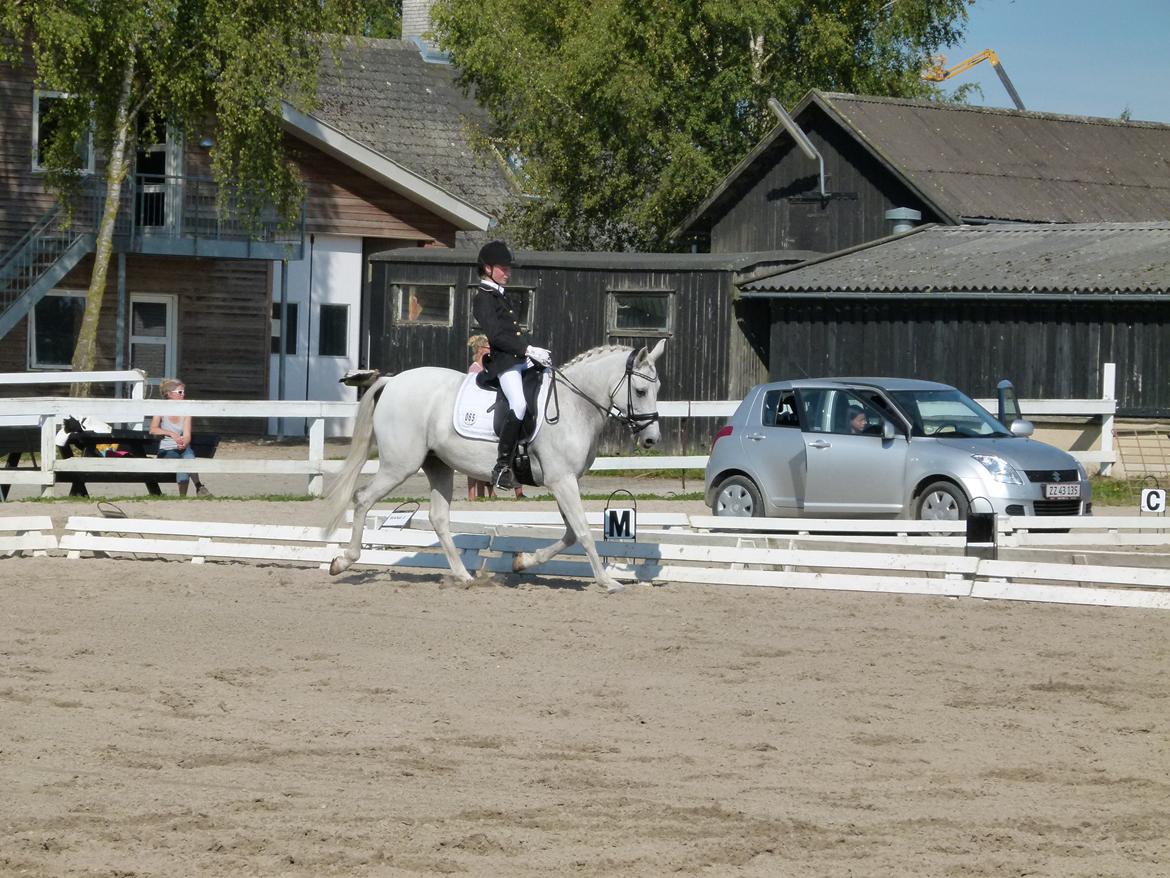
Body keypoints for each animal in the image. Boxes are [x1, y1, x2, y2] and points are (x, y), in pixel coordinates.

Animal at [325, 339, 664, 594]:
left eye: (657, 388)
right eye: (641, 391)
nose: (651, 439)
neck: (573, 404)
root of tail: (393, 380)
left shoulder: (563, 480)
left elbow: (569, 533)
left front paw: (522, 561)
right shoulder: (562, 480)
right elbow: (581, 531)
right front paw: (608, 581)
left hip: (437, 464)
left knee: (439, 518)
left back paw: (464, 576)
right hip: (400, 465)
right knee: (363, 498)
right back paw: (343, 561)